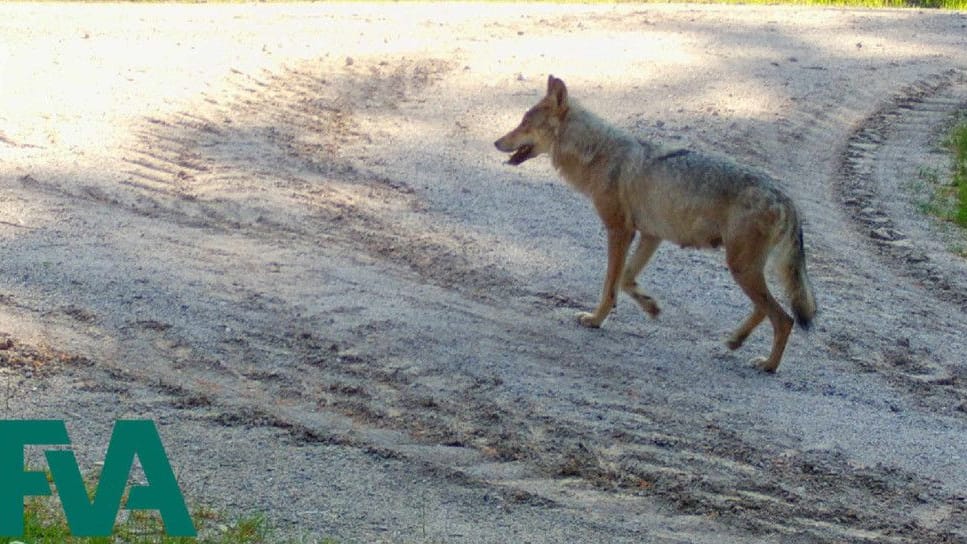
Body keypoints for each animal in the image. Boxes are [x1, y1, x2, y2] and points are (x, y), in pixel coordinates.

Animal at [496, 75, 820, 374]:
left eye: (524, 124)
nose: (496, 142)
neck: (598, 154)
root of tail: (784, 197)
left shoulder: (619, 231)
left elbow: (609, 285)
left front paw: (595, 320)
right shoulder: (650, 235)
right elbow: (625, 279)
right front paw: (650, 305)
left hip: (741, 269)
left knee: (784, 318)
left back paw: (768, 365)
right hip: (745, 270)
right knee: (766, 310)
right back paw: (735, 341)